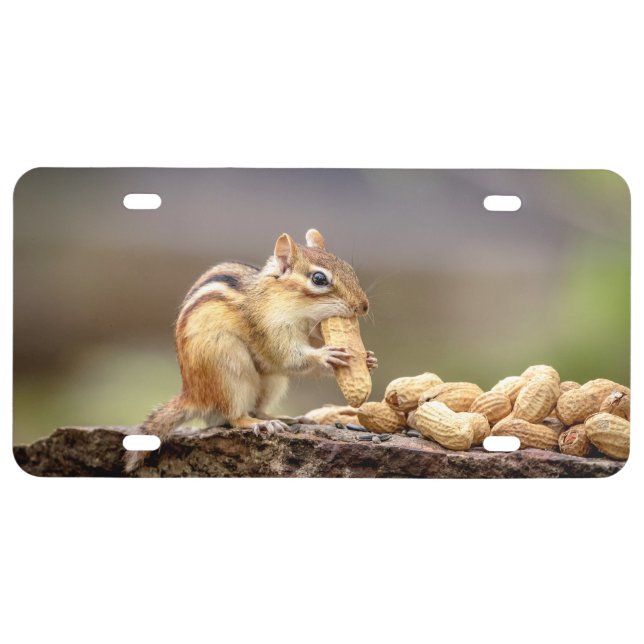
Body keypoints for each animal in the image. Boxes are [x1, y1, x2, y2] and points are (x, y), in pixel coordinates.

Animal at [124, 228, 377, 473]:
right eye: (319, 279)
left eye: (349, 269)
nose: (364, 306)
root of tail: (193, 395)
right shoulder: (269, 329)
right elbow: (288, 358)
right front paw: (326, 355)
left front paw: (369, 359)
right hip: (228, 370)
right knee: (234, 416)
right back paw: (259, 423)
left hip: (272, 382)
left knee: (257, 407)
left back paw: (279, 417)